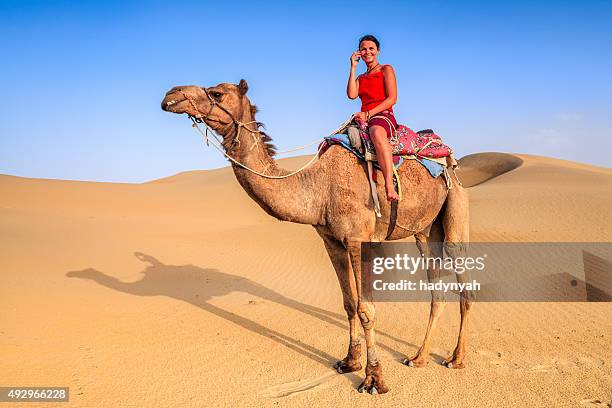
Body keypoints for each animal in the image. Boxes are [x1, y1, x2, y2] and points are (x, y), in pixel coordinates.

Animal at [159, 80, 474, 396]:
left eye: (217, 93)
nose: (170, 95)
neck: (318, 187)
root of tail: (449, 158)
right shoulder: (331, 241)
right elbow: (349, 303)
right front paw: (349, 361)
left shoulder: (358, 238)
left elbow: (366, 309)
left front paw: (374, 379)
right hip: (425, 230)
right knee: (436, 289)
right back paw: (419, 357)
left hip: (455, 209)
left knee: (463, 280)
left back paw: (456, 359)